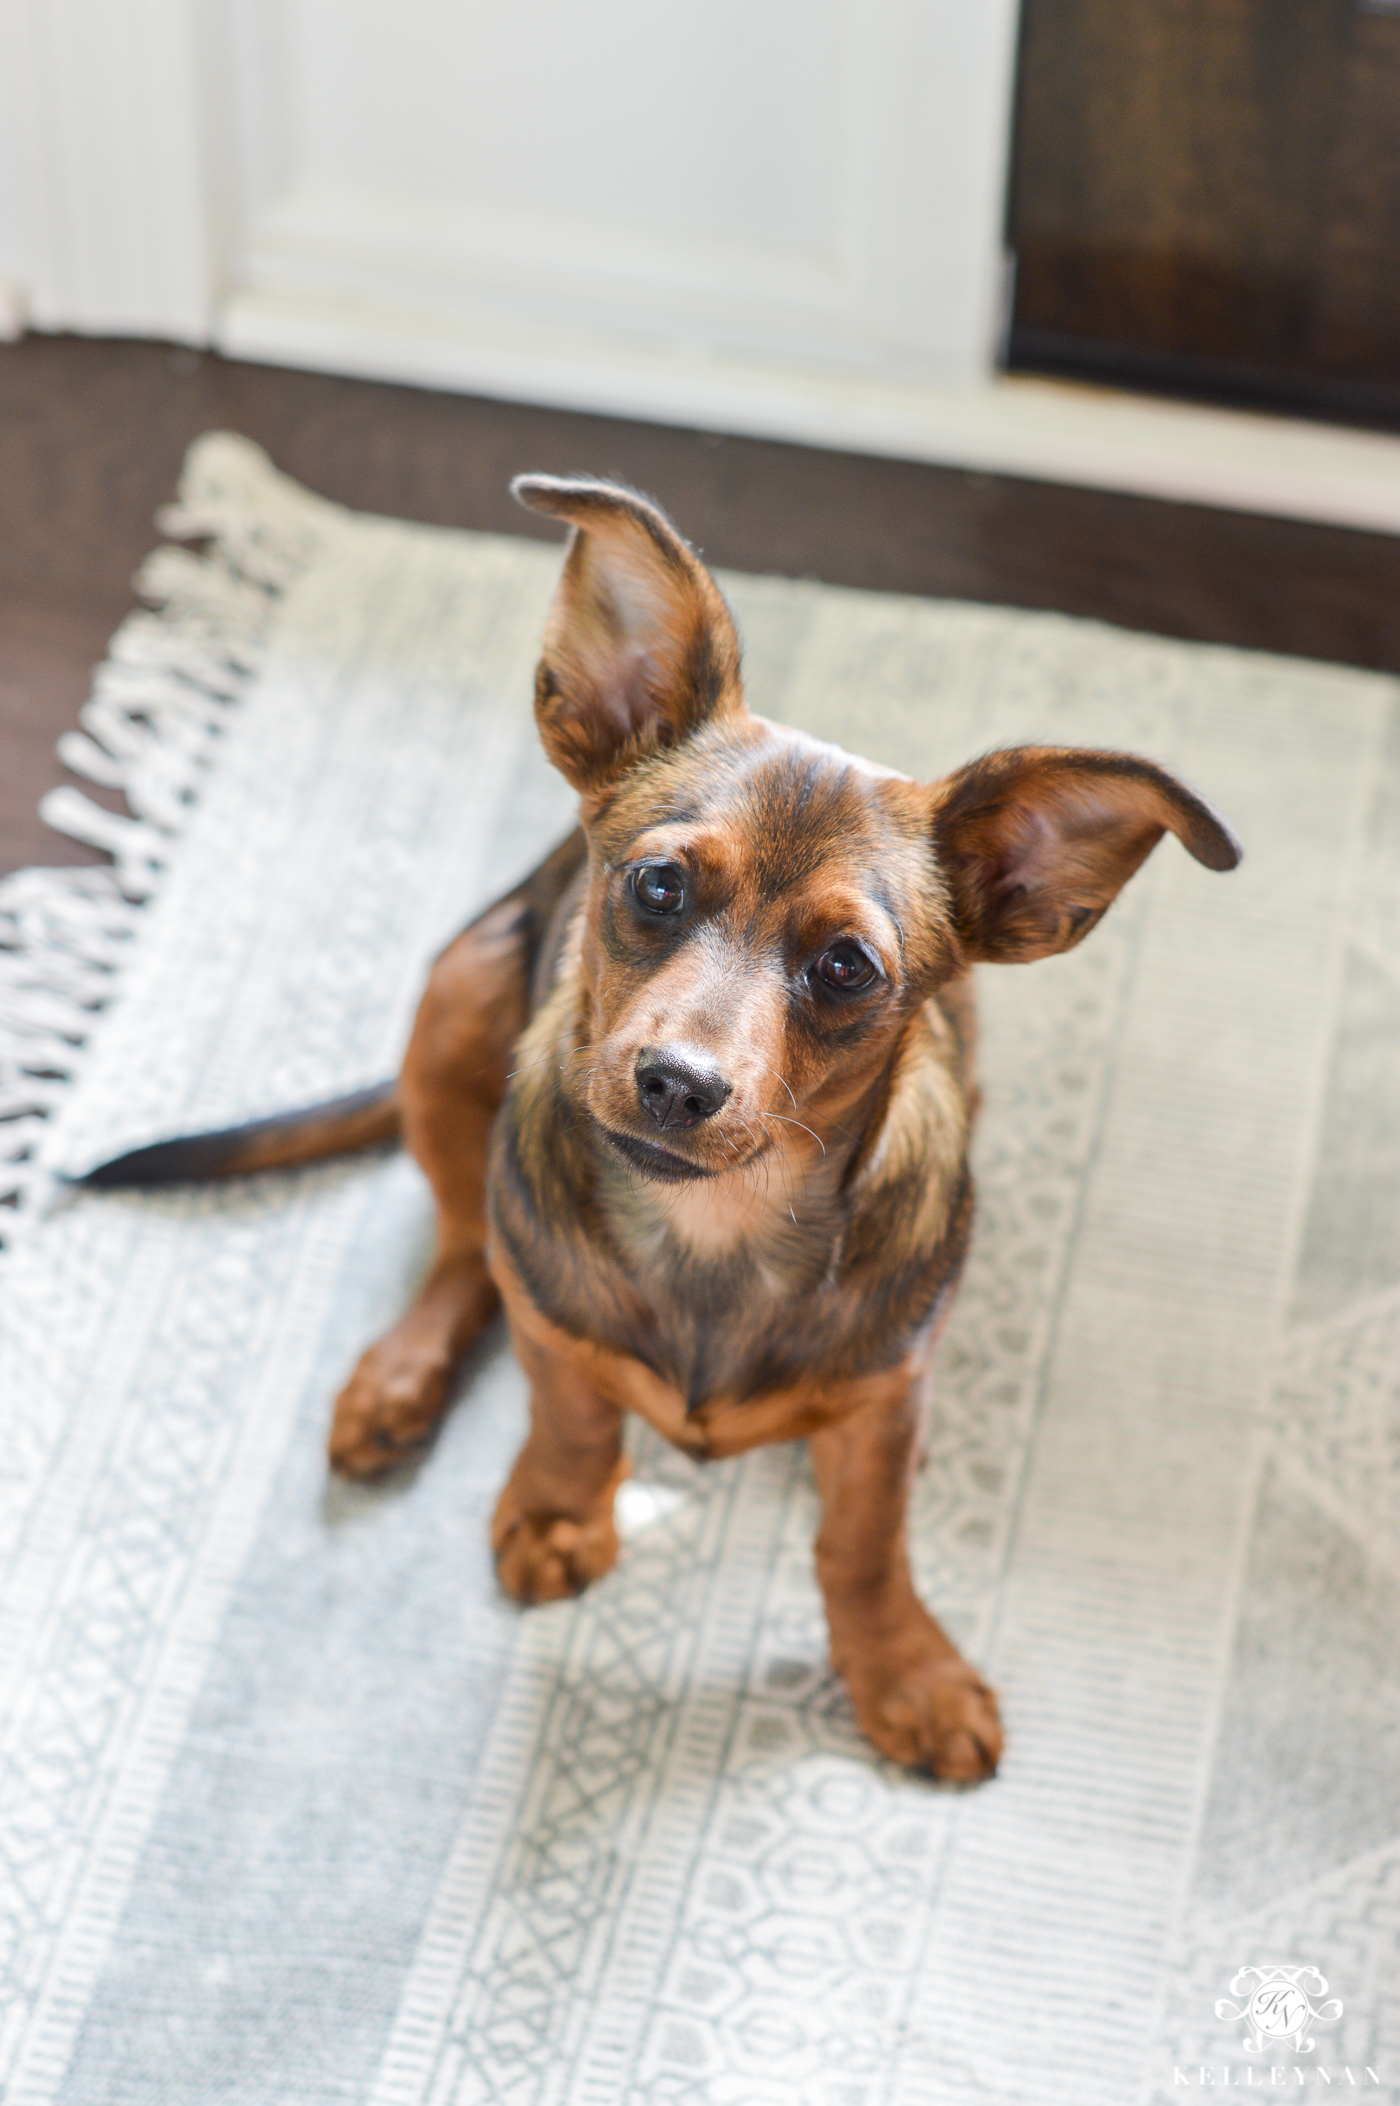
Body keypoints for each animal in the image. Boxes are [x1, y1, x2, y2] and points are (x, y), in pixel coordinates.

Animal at [87, 478, 1237, 1777]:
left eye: (846, 967)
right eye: (655, 885)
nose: (677, 1086)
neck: (715, 1232)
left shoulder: (876, 1412)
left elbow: (864, 1542)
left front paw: (902, 1668)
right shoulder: (559, 1327)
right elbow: (571, 1408)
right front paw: (558, 1509)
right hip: (453, 999)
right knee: (461, 1245)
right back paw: (401, 1373)